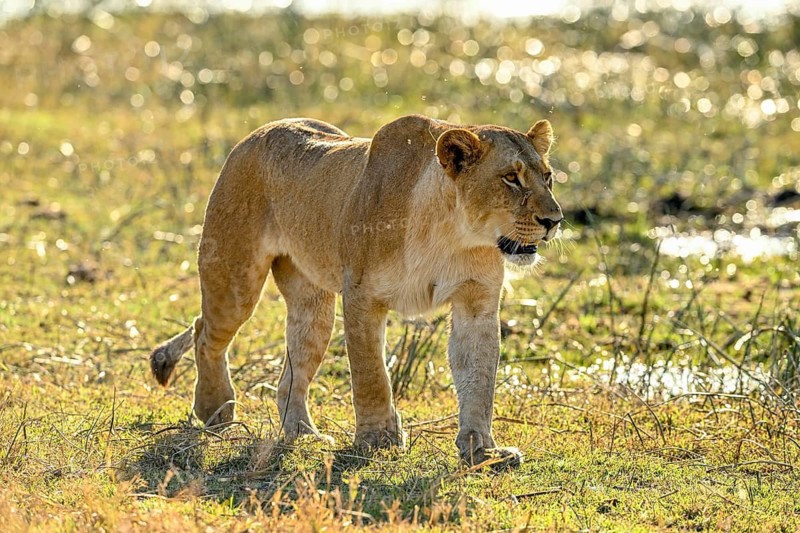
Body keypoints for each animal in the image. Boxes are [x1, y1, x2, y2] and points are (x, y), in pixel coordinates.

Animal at [149, 114, 563, 466]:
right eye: (510, 178)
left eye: (548, 177)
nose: (554, 220)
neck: (452, 234)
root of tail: (256, 134)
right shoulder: (362, 296)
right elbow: (371, 375)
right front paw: (377, 439)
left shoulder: (476, 303)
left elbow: (479, 379)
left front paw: (483, 450)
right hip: (236, 278)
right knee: (205, 332)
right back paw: (216, 410)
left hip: (312, 304)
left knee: (291, 374)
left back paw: (304, 433)